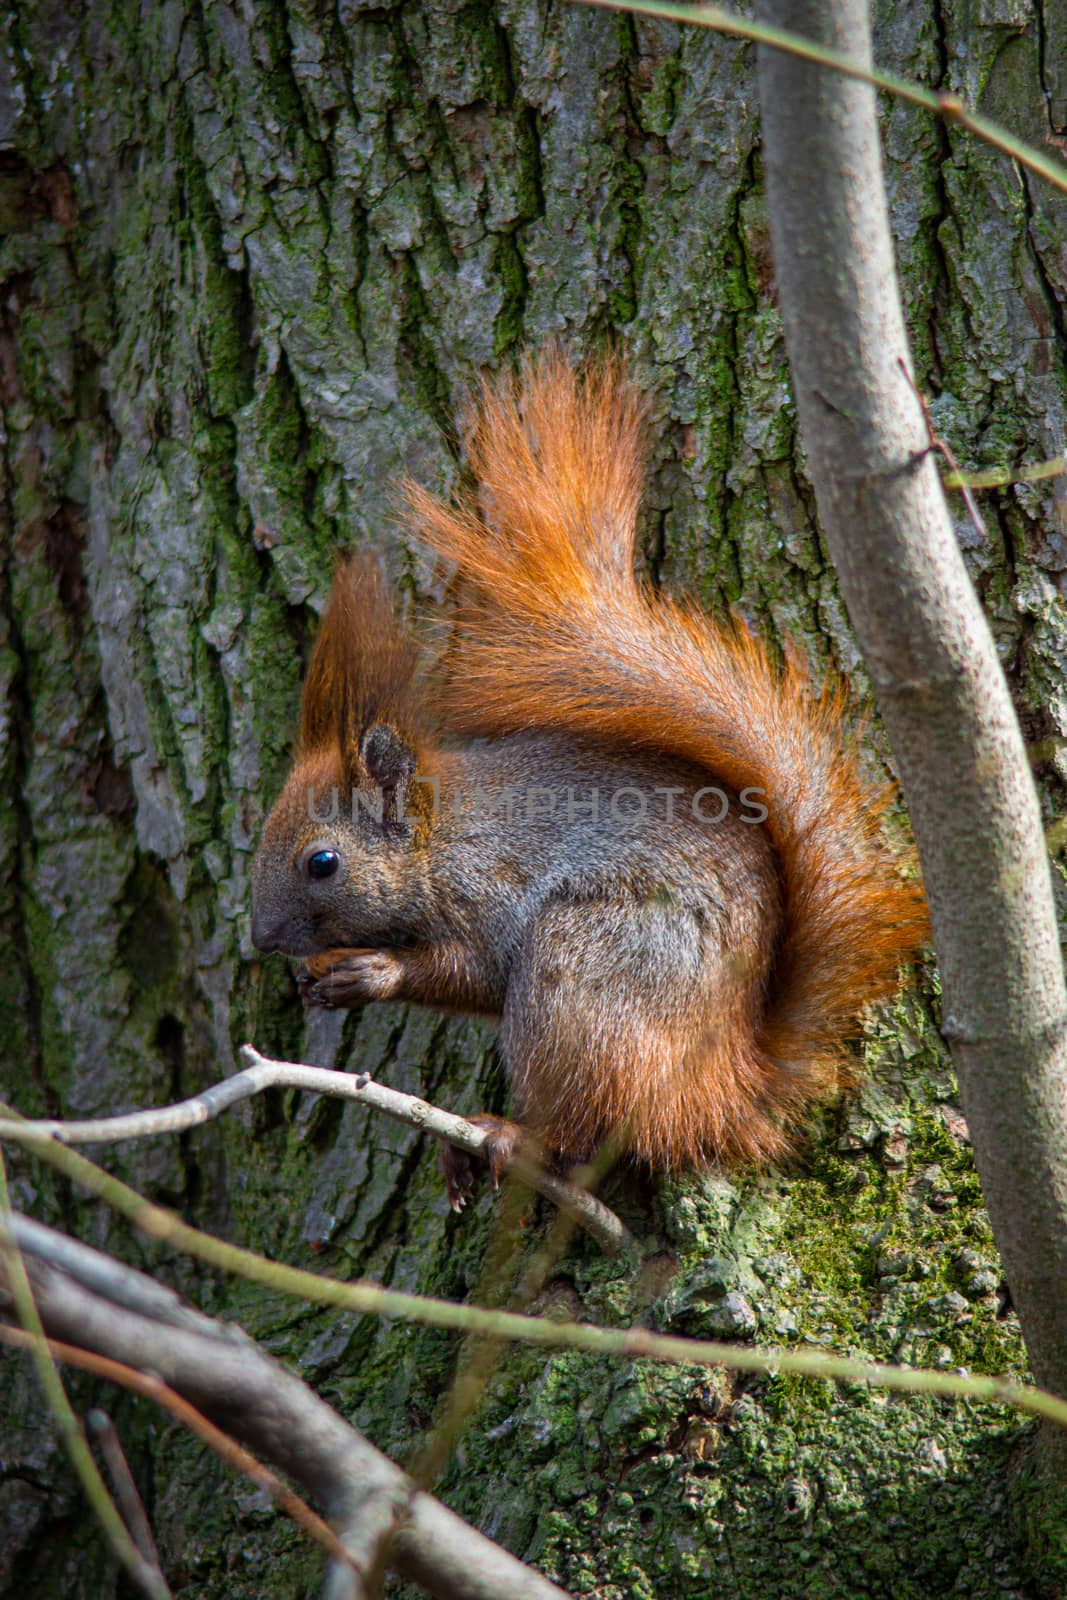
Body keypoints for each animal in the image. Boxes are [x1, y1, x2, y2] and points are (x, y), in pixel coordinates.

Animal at [251, 350, 927, 1203]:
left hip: (581, 979)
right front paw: (318, 976)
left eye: (322, 862)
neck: (441, 837)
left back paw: (507, 1135)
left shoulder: (492, 890)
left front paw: (370, 972)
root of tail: (720, 1086)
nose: (260, 940)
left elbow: (473, 972)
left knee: (582, 1123)